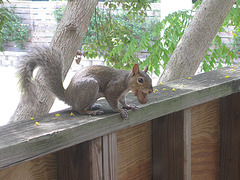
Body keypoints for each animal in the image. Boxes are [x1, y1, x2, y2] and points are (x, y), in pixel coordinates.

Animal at [19, 47, 154, 119]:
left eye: (151, 78)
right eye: (140, 80)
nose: (151, 90)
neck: (126, 81)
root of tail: (68, 96)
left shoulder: (122, 94)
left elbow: (123, 101)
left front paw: (129, 106)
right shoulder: (113, 89)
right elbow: (113, 102)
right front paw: (120, 111)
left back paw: (94, 106)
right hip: (90, 86)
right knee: (77, 109)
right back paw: (91, 112)